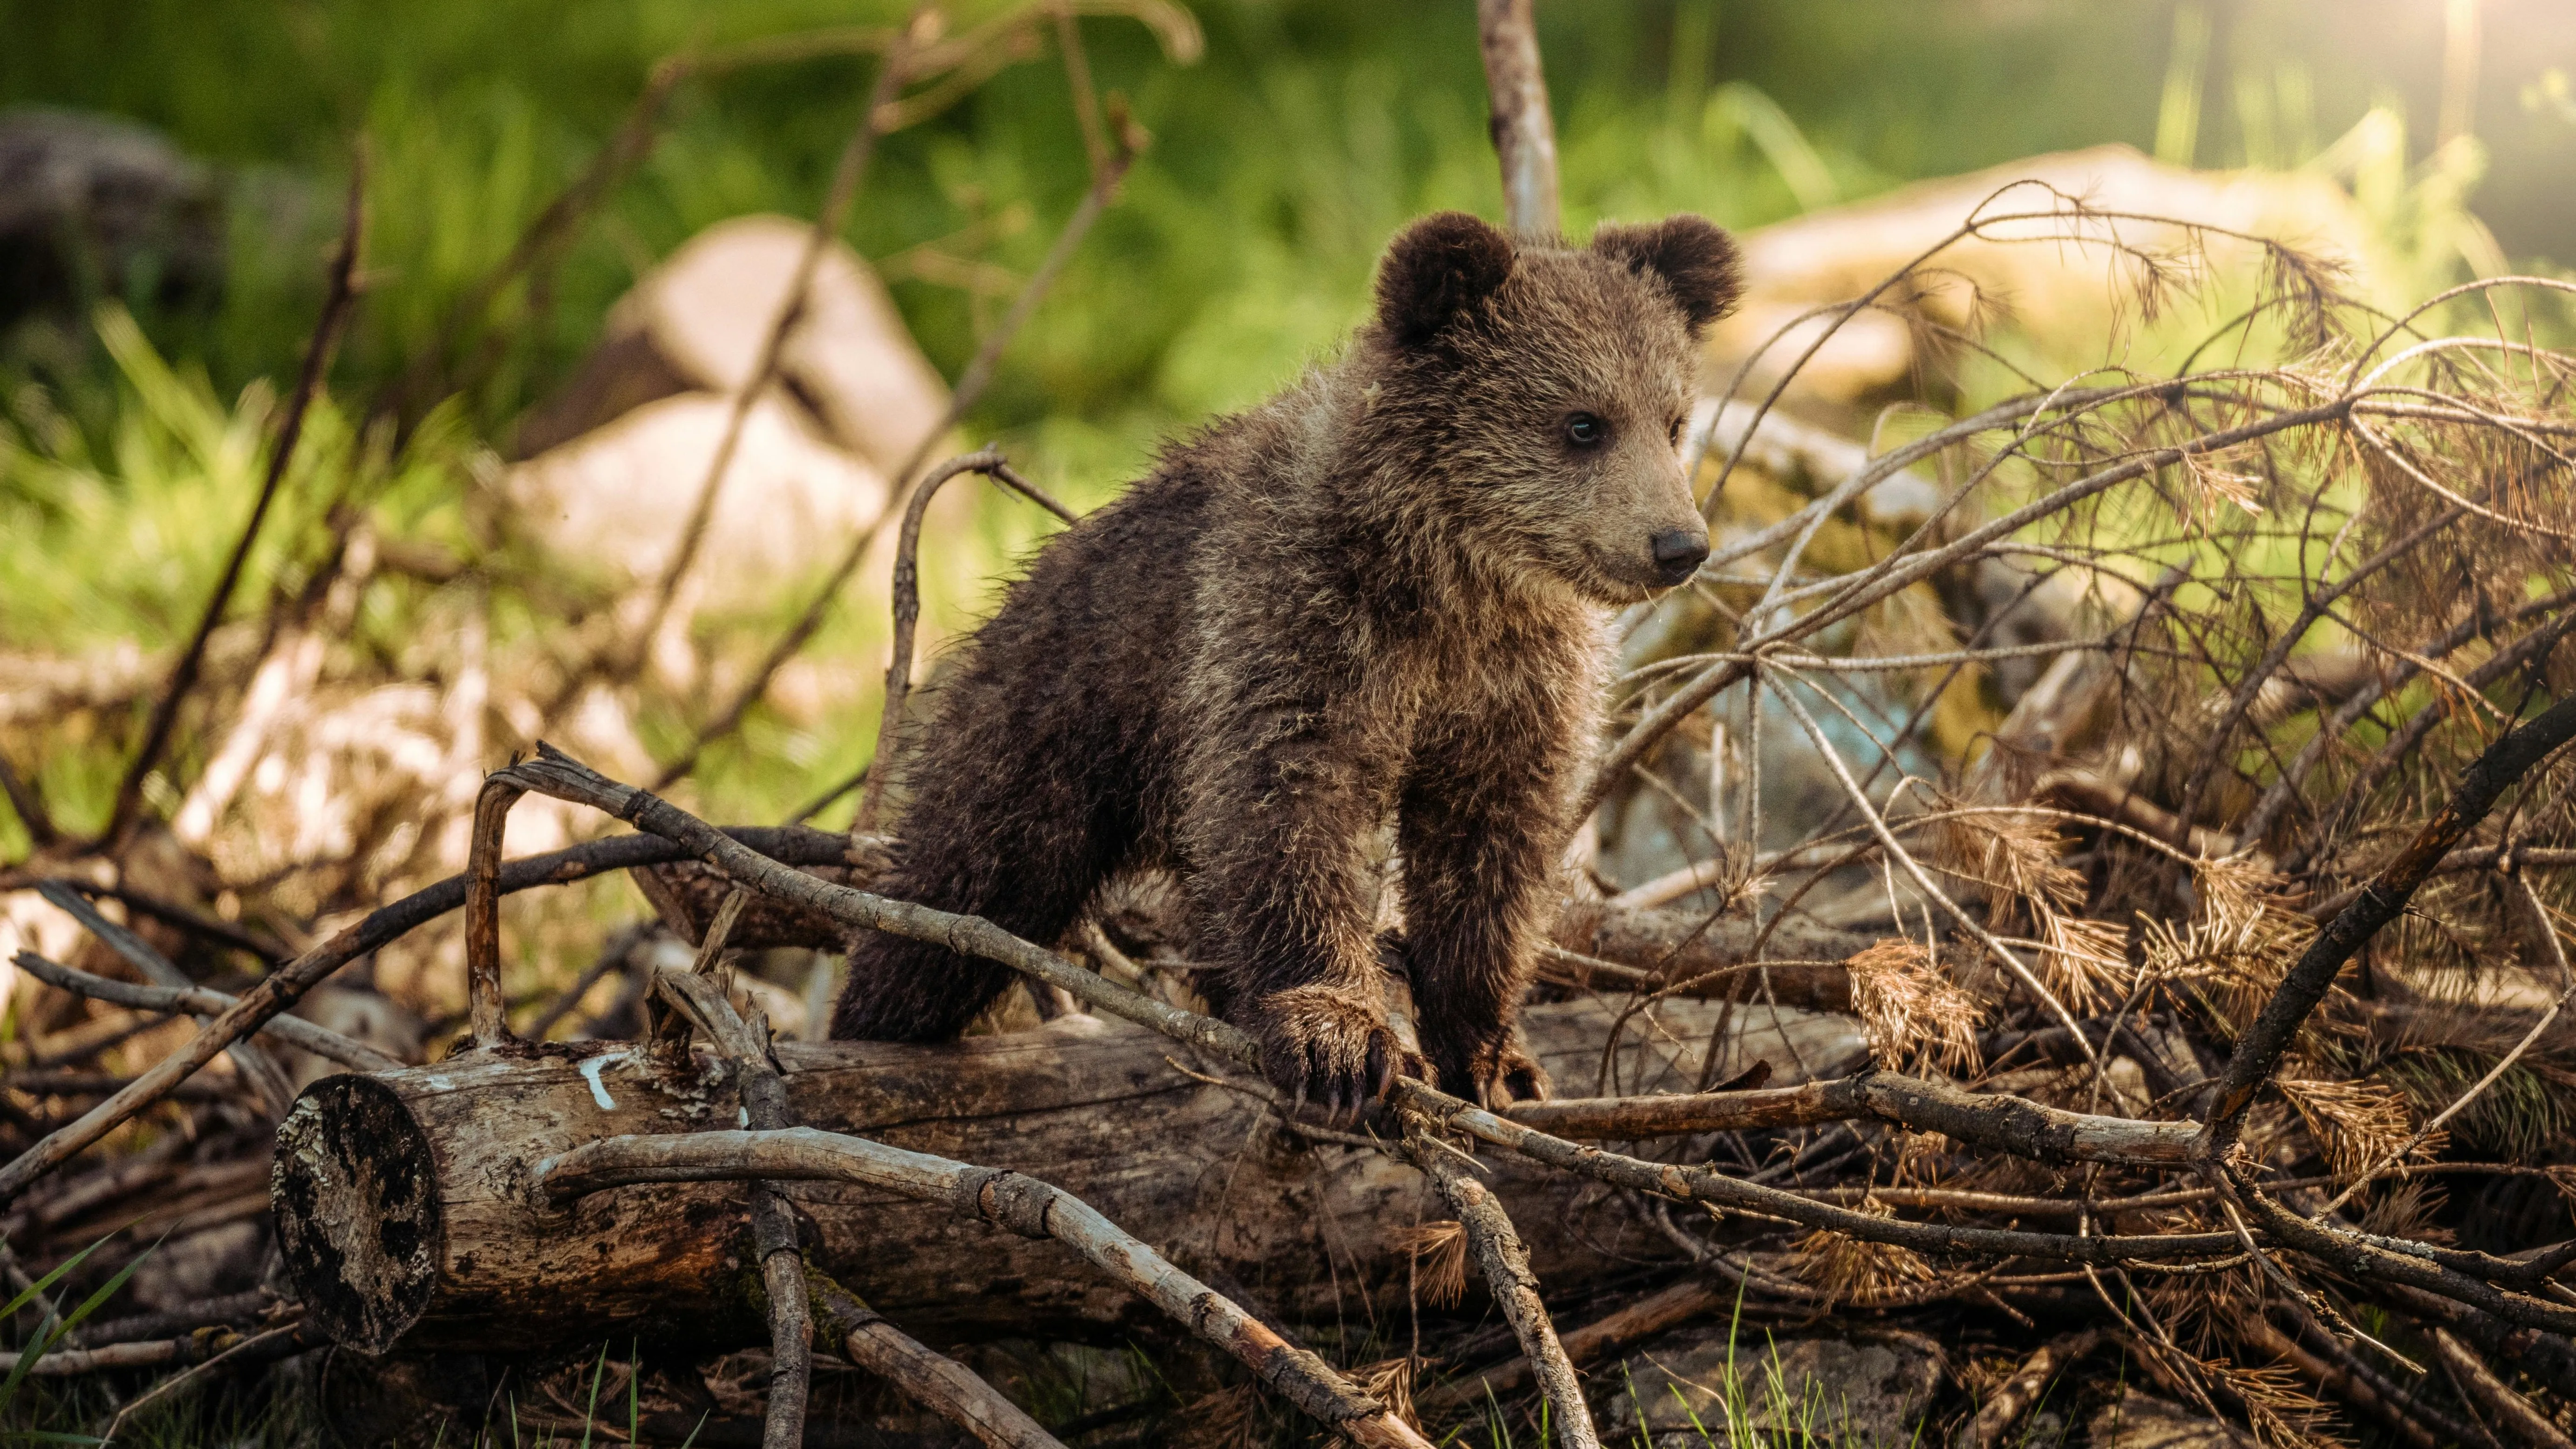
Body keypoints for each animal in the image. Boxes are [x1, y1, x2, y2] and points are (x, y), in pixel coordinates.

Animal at [834, 215, 1741, 1117]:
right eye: (1583, 422)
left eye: (1673, 420)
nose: (1678, 545)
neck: (1450, 583)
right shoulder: (1296, 627)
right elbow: (1289, 811)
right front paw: (1337, 1038)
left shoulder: (1515, 685)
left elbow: (1491, 850)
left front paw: (1494, 1056)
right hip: (1049, 723)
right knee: (957, 891)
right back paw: (873, 1020)